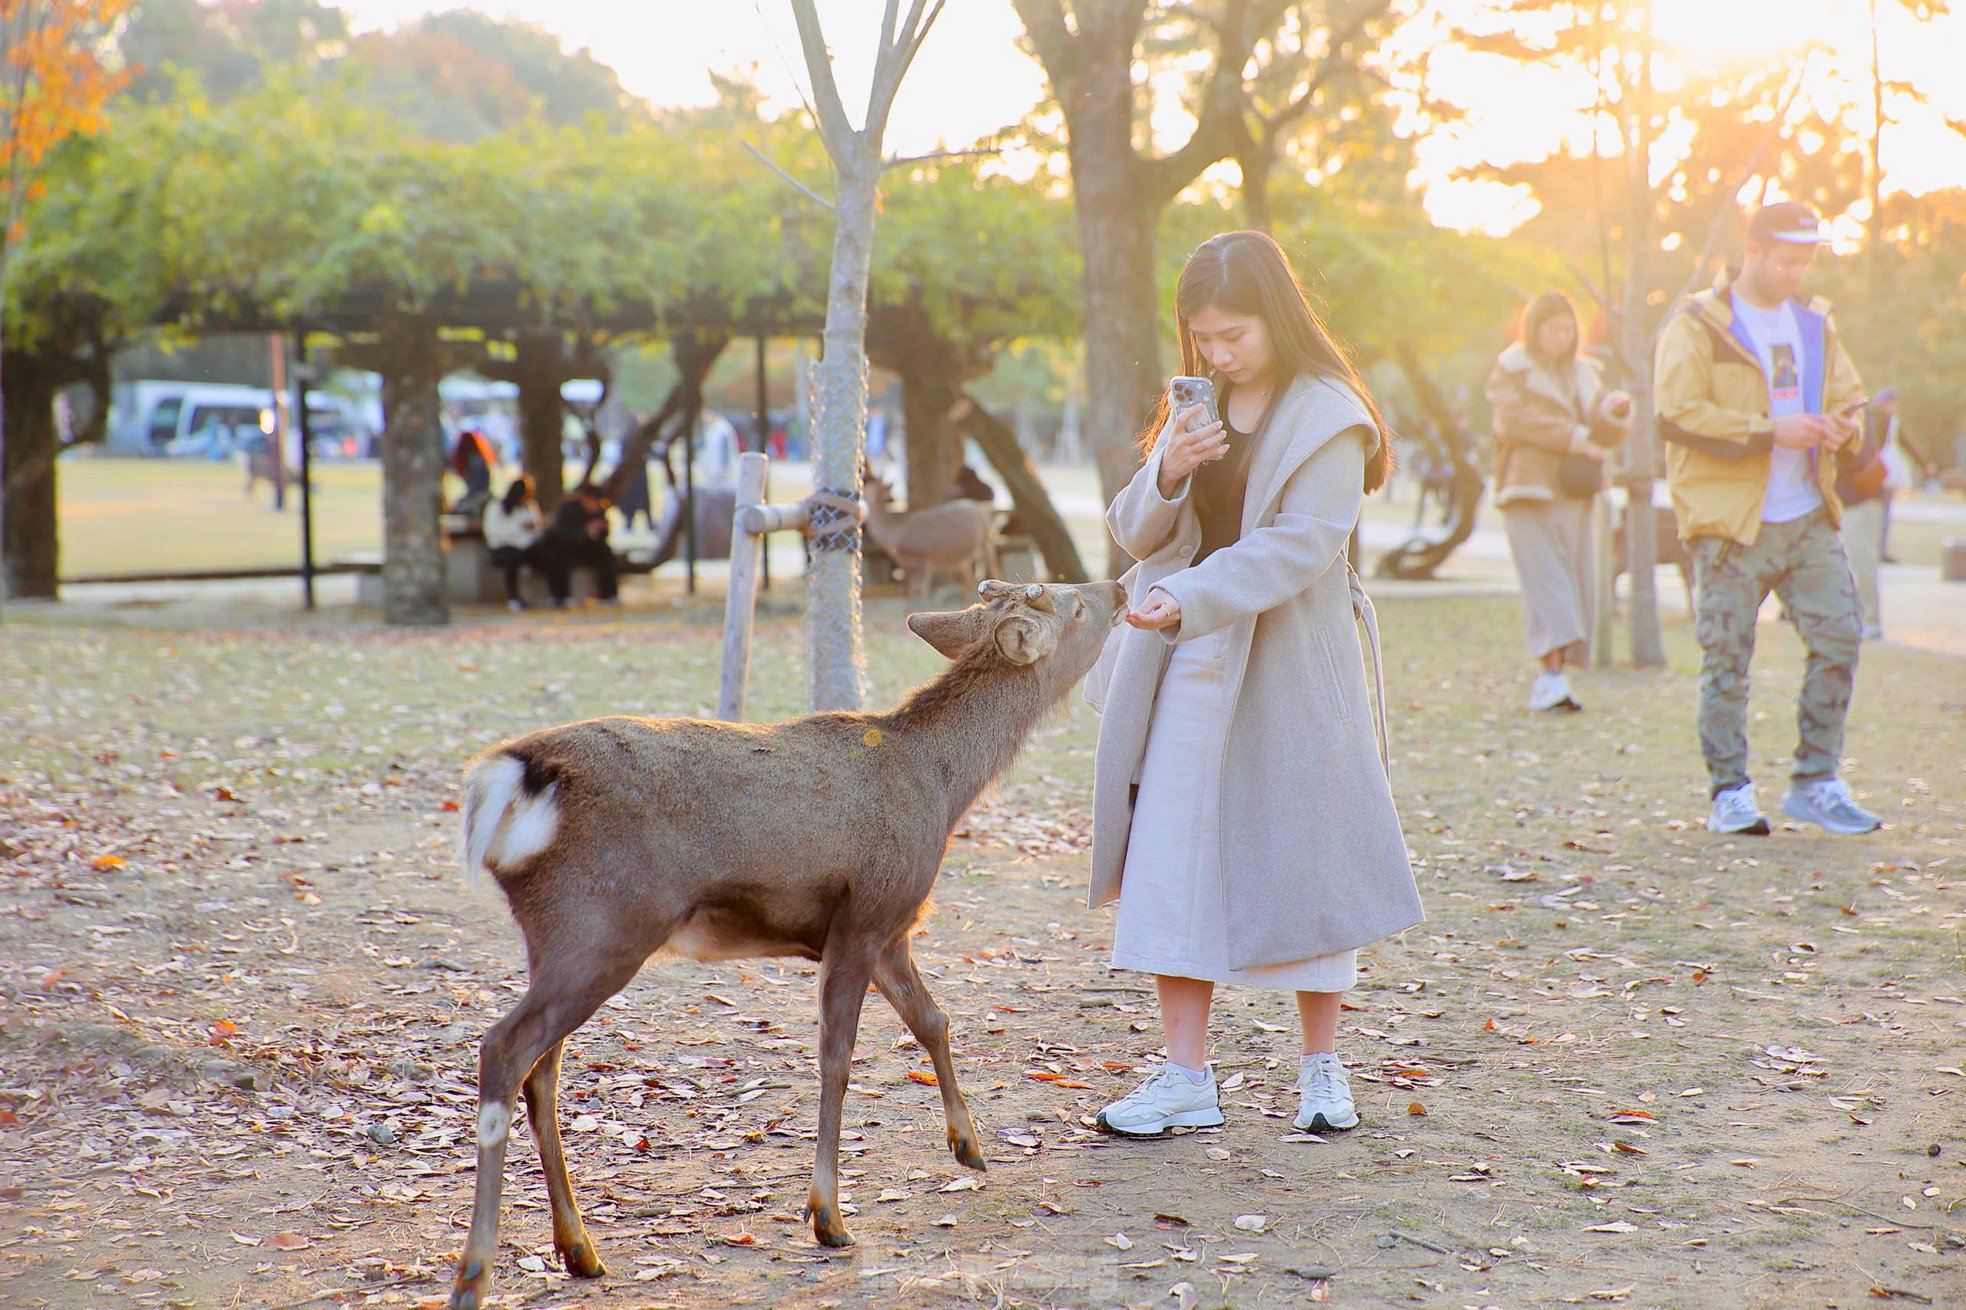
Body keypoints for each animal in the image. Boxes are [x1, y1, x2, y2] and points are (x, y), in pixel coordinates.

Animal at [446, 578, 1124, 1298]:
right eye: (1073, 604)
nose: (1116, 585)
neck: (941, 789)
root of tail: (510, 779)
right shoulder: (865, 915)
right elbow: (838, 1056)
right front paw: (828, 1216)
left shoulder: (890, 930)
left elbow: (933, 1020)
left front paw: (968, 1146)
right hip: (603, 923)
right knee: (505, 1048)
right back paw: (476, 1271)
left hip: (557, 938)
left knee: (542, 1070)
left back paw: (580, 1249)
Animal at [868, 474, 1006, 601]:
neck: (895, 533)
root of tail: (984, 510)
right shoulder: (909, 567)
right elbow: (911, 593)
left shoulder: (925, 558)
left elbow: (923, 592)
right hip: (964, 557)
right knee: (968, 580)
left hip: (987, 541)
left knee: (995, 570)